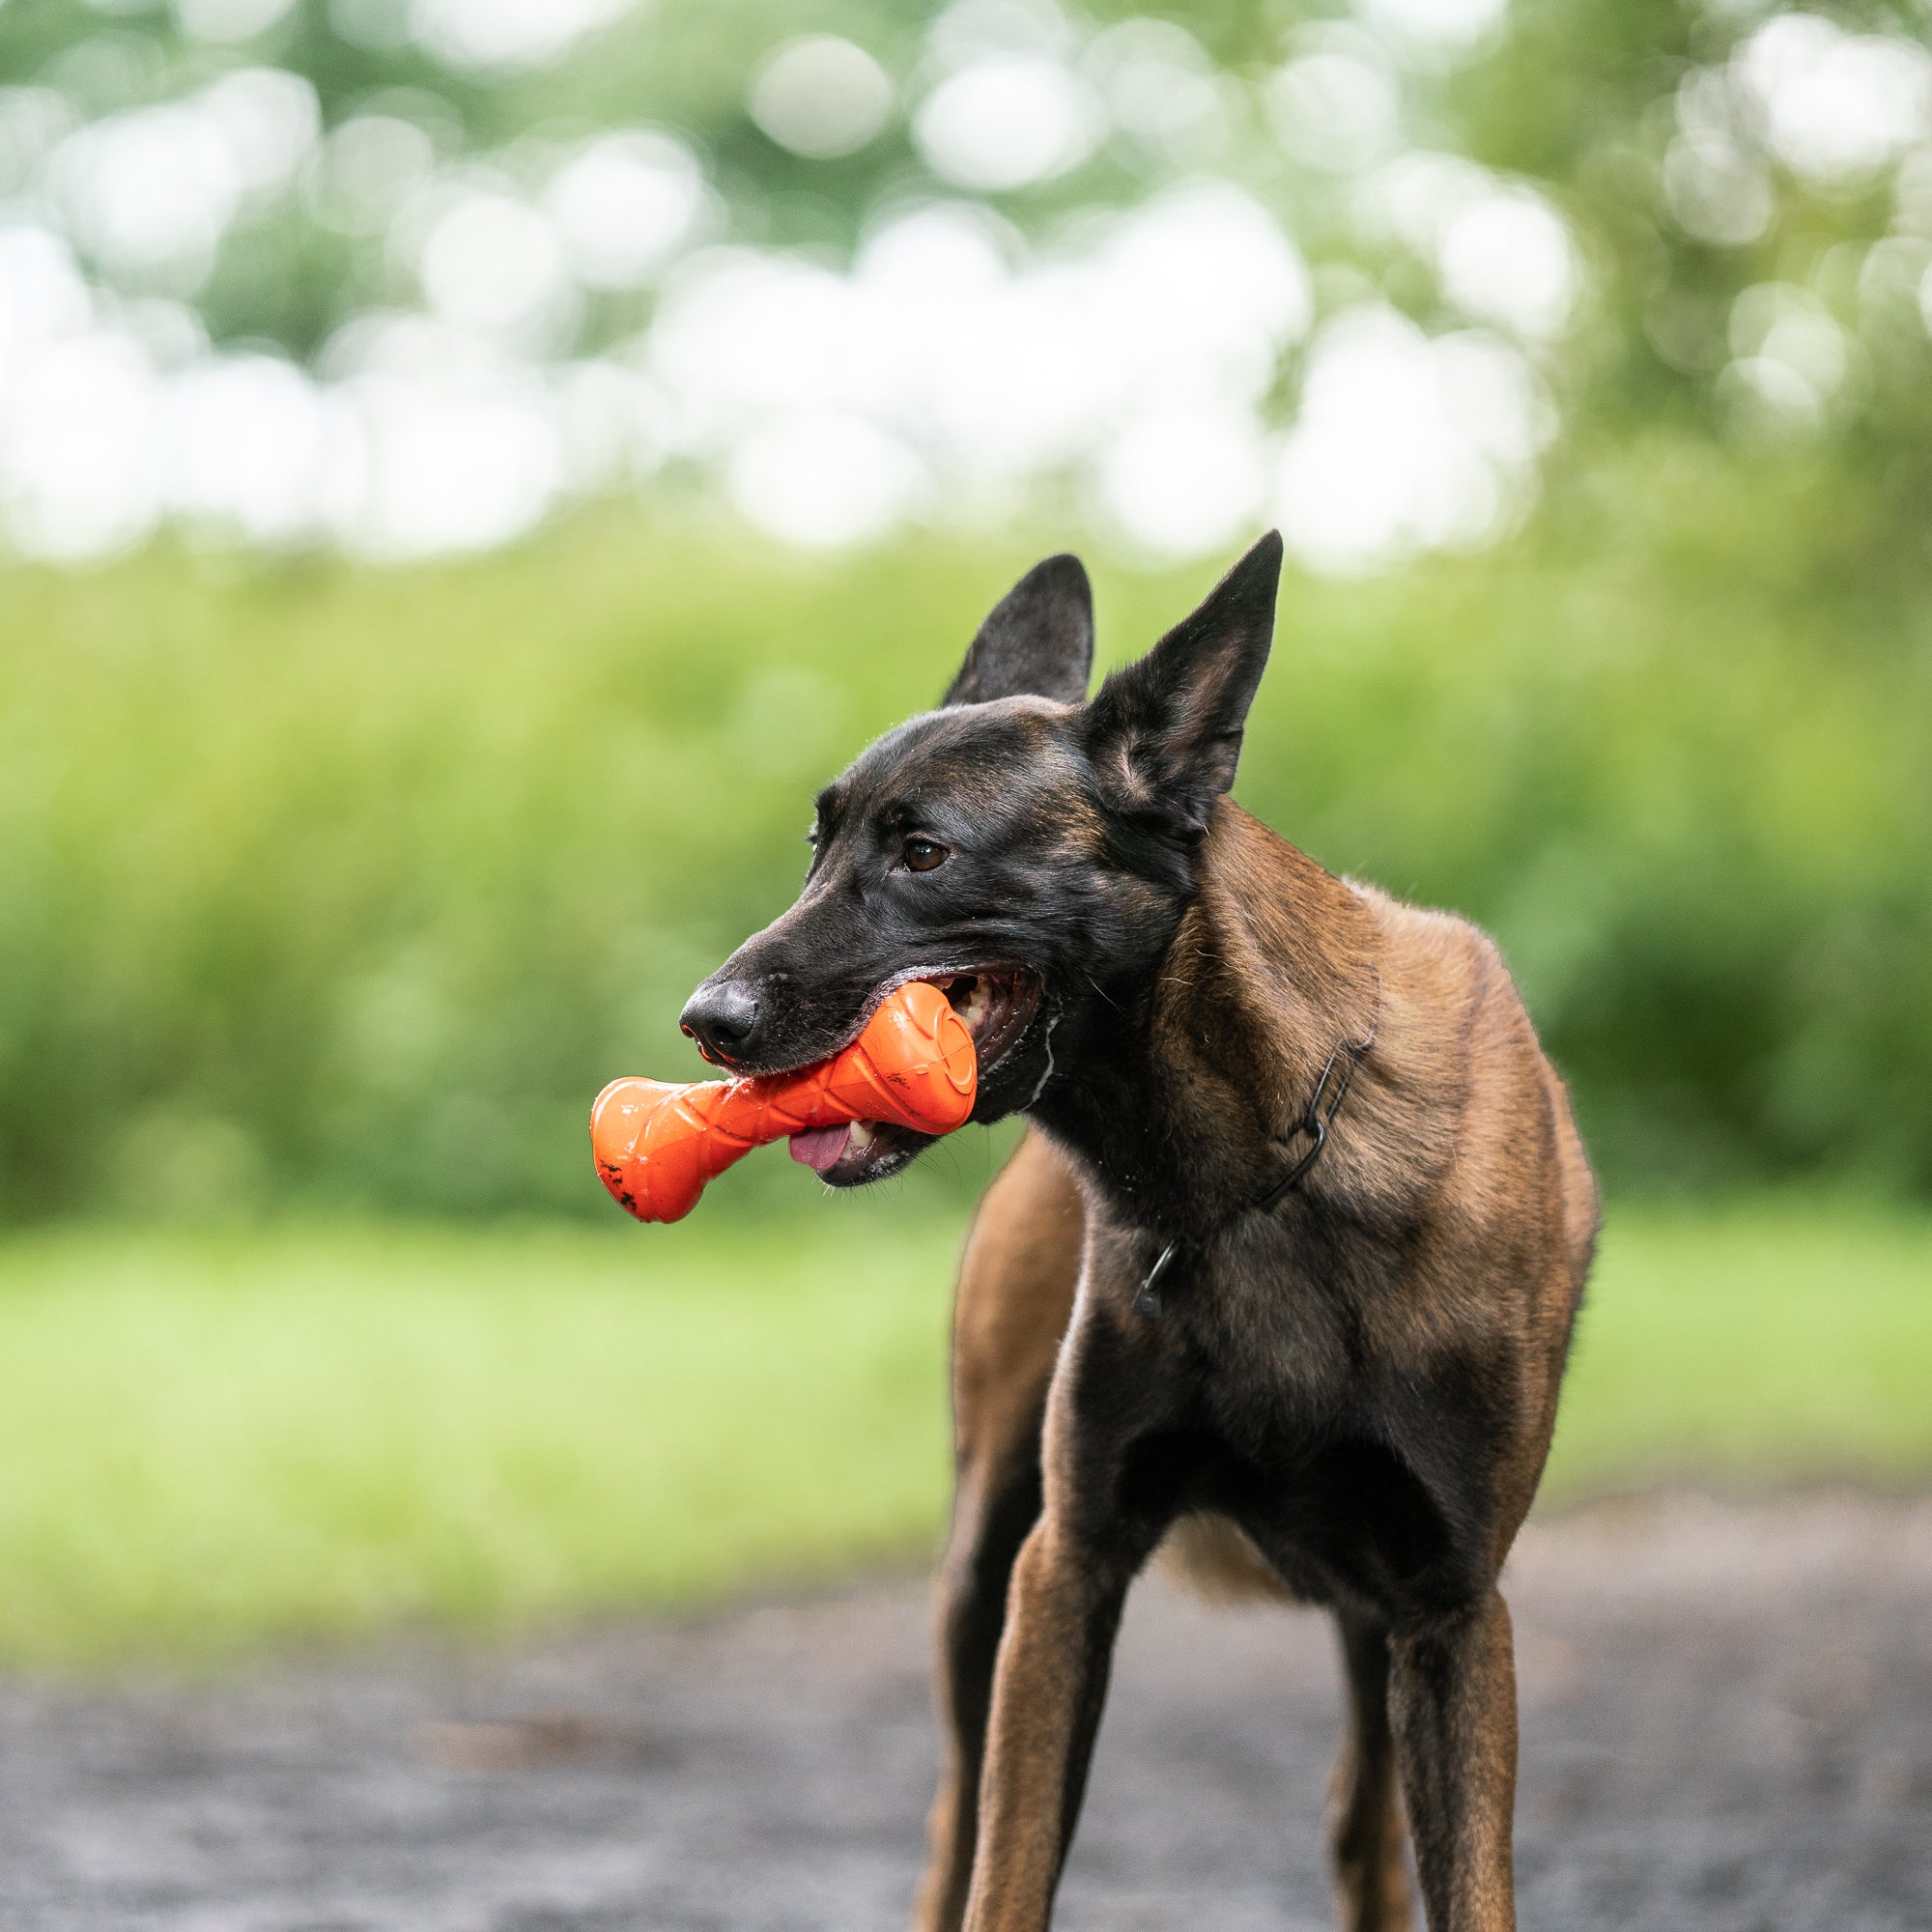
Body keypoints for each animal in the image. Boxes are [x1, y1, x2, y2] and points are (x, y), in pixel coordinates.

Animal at [680, 533, 1600, 1932]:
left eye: (924, 852)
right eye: (816, 844)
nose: (708, 1021)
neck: (1260, 1174)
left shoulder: (1450, 1609)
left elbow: (1470, 1888)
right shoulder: (1069, 1566)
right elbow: (1007, 1874)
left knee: (1360, 1829)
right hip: (980, 1568)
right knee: (954, 1826)